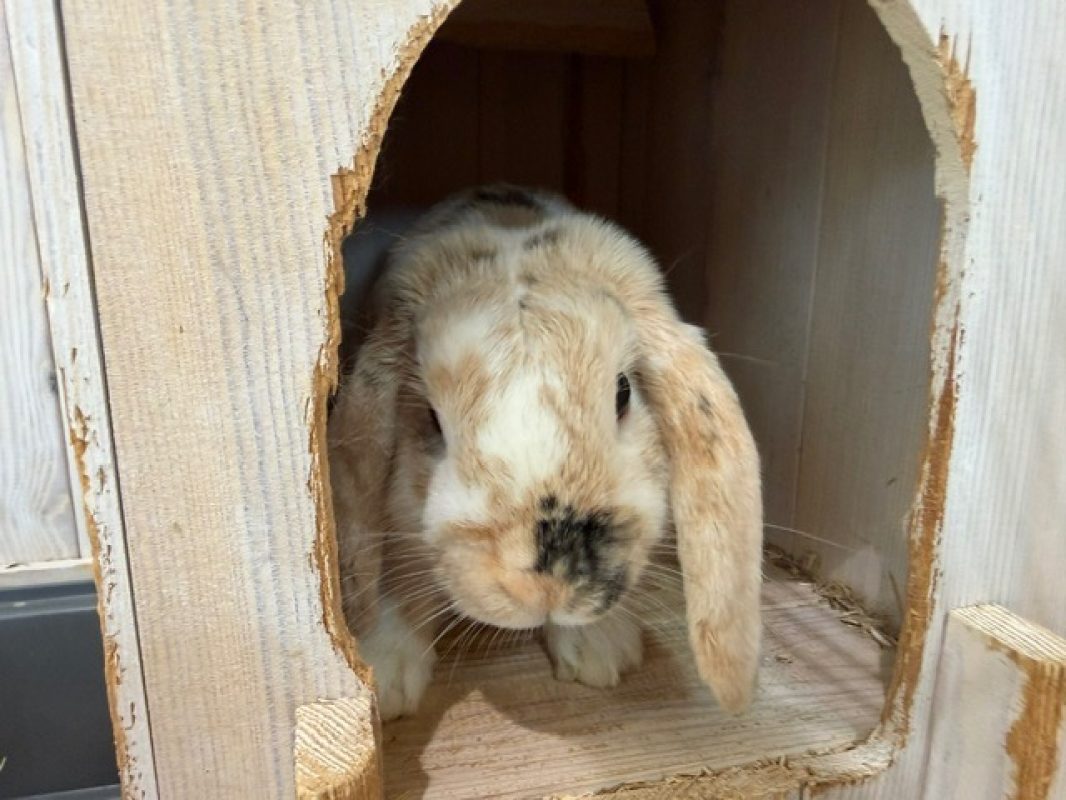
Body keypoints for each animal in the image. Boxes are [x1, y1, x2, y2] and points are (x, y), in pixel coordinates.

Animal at [328, 184, 763, 721]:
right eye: (431, 417)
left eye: (623, 393)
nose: (548, 586)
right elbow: (396, 570)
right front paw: (385, 678)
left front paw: (600, 652)